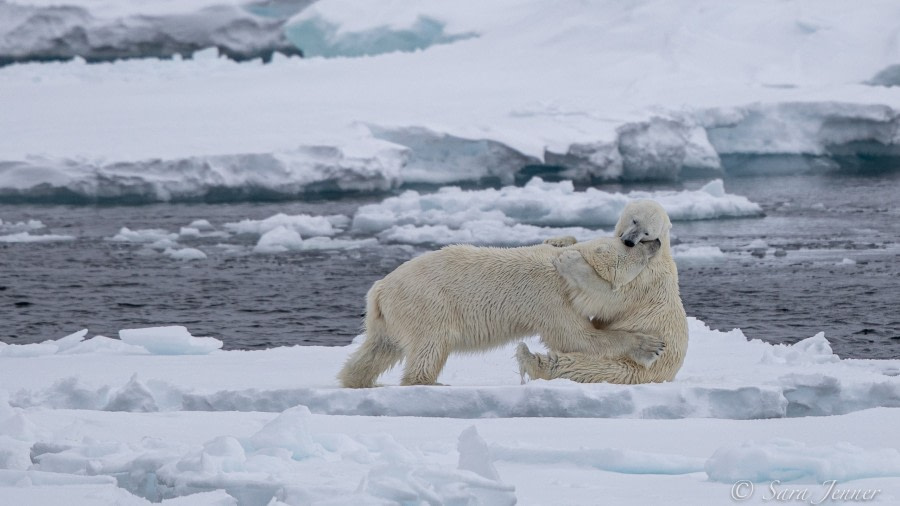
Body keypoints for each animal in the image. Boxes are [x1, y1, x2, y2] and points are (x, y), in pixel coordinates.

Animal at [338, 233, 660, 388]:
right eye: (629, 242)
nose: (655, 241)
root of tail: (379, 290)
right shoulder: (549, 297)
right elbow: (575, 337)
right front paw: (649, 345)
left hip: (388, 318)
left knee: (378, 349)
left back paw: (356, 380)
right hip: (427, 304)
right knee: (431, 345)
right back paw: (430, 382)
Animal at [512, 200, 688, 386]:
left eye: (647, 232)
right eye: (635, 221)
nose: (629, 241)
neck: (662, 251)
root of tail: (668, 374)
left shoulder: (645, 277)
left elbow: (606, 297)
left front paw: (569, 260)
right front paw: (558, 241)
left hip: (630, 367)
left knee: (584, 367)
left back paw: (530, 359)